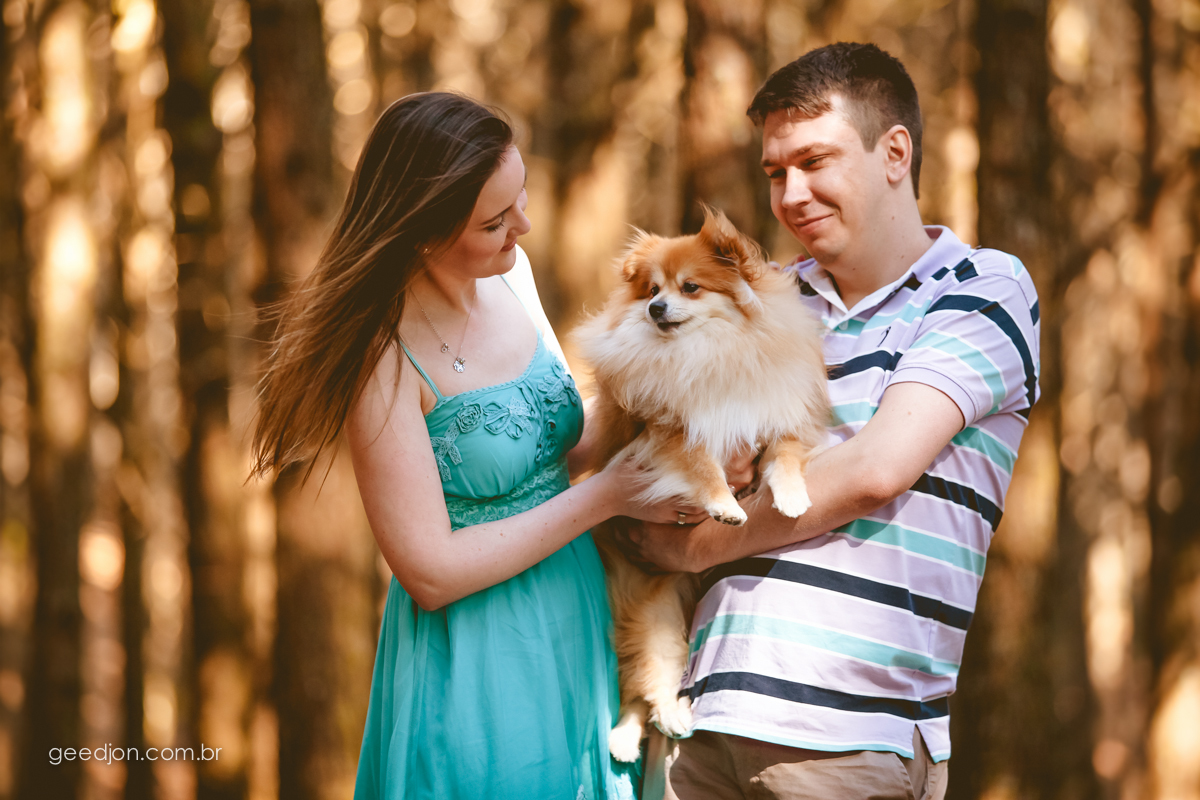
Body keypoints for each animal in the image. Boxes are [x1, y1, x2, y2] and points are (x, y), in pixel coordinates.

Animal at [574, 208, 831, 762]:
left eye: (690, 287)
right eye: (652, 288)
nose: (654, 307)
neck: (709, 351)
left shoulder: (776, 416)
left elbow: (784, 457)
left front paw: (792, 497)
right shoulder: (668, 432)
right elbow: (702, 465)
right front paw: (725, 506)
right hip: (657, 614)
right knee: (647, 679)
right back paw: (649, 724)